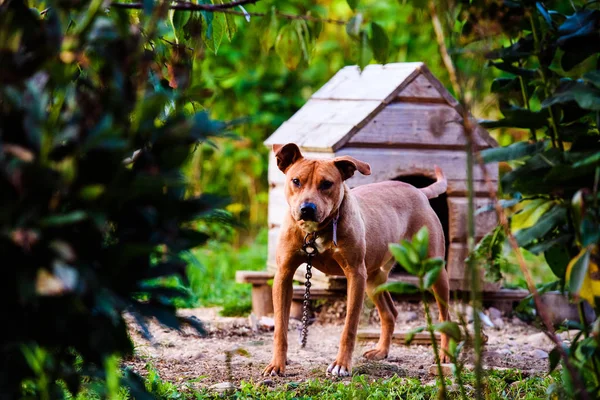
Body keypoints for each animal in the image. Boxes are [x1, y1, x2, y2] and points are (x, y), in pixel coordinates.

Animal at [262, 144, 450, 378]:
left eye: (327, 184)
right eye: (296, 181)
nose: (307, 208)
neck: (317, 231)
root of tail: (419, 192)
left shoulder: (355, 275)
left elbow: (349, 327)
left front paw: (341, 364)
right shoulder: (284, 275)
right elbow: (280, 328)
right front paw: (277, 364)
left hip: (435, 273)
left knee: (445, 317)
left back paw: (445, 355)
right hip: (374, 280)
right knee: (390, 313)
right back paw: (381, 351)